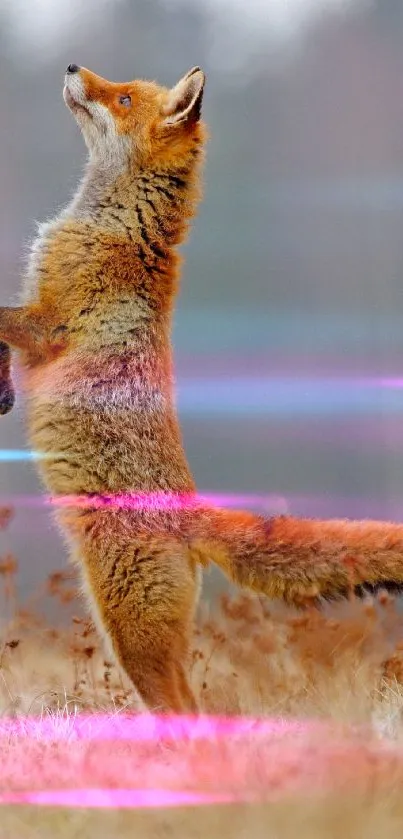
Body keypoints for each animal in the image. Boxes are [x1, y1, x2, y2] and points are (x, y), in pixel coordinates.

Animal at [0, 62, 403, 712]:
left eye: (124, 98)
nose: (71, 66)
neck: (111, 225)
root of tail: (191, 509)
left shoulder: (45, 324)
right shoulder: (34, 332)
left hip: (130, 632)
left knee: (188, 711)